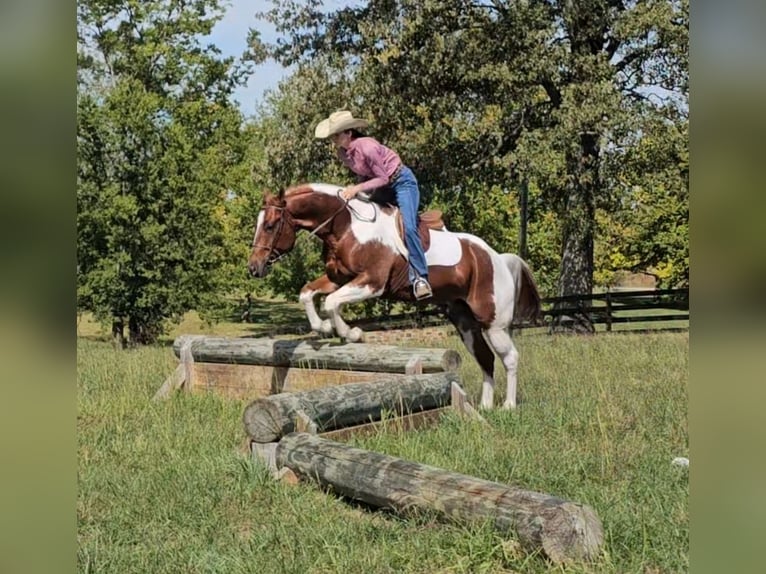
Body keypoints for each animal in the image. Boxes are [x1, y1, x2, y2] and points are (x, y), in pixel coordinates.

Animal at [248, 183, 542, 409]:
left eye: (271, 225)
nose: (254, 268)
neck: (346, 227)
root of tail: (497, 258)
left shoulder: (372, 283)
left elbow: (331, 302)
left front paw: (350, 333)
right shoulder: (338, 279)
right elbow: (307, 293)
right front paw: (323, 328)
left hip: (494, 323)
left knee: (509, 357)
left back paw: (508, 406)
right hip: (465, 322)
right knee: (486, 358)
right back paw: (485, 406)